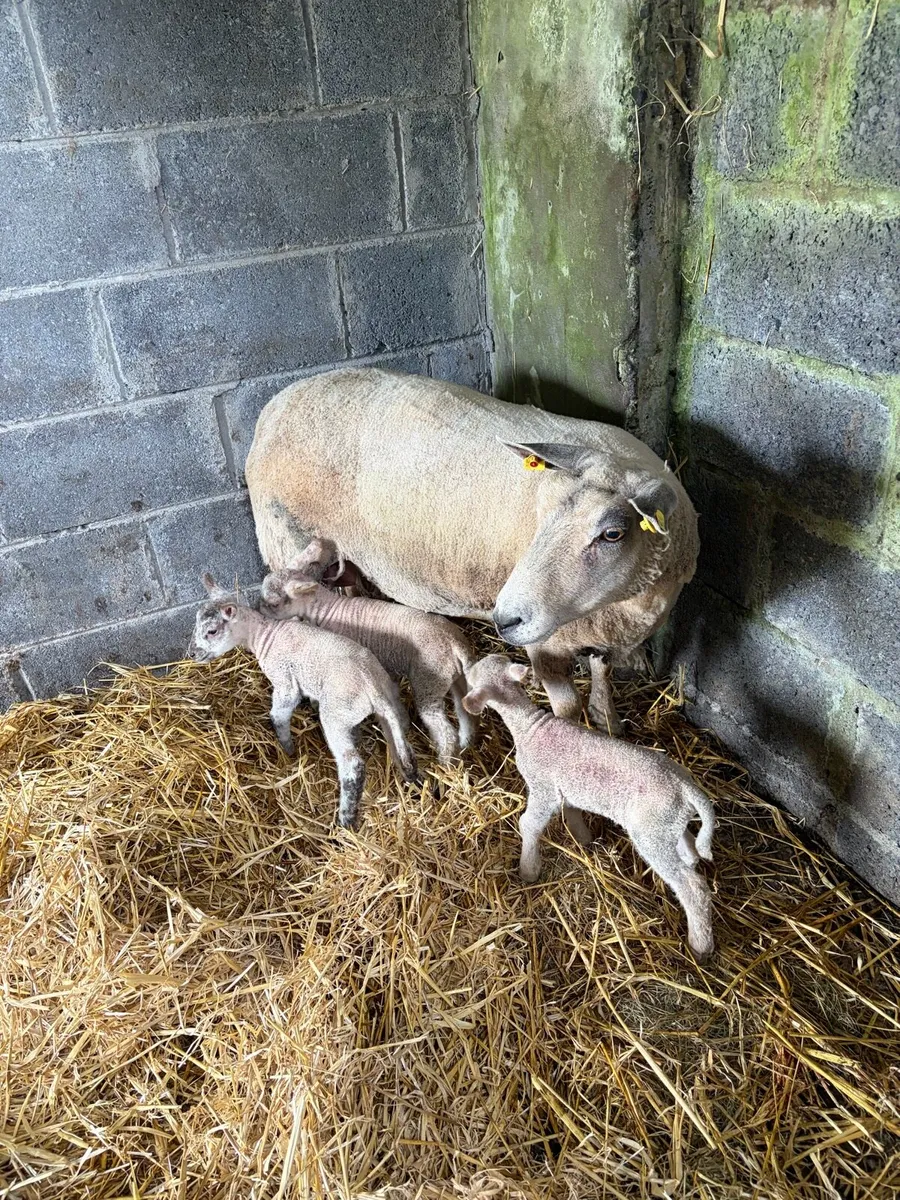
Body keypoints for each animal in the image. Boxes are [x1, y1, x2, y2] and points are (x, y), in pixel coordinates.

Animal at [187, 575, 419, 828]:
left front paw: (288, 750)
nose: (192, 654)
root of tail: (370, 683)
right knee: (402, 746)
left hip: (337, 712)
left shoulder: (283, 679)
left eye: (211, 631)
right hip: (384, 707)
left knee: (352, 765)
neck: (264, 635)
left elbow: (279, 714)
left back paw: (346, 819)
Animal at [260, 538, 478, 763]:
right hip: (456, 678)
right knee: (466, 716)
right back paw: (464, 745)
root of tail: (455, 643)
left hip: (430, 679)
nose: (260, 611)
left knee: (444, 730)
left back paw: (445, 762)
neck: (328, 609)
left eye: (273, 603)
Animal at [461, 654, 715, 961]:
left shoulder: (543, 788)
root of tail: (686, 786)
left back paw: (700, 946)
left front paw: (528, 870)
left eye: (472, 678)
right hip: (669, 823)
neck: (529, 726)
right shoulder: (566, 791)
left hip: (651, 833)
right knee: (690, 852)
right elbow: (572, 813)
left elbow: (529, 824)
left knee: (692, 886)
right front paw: (584, 839)